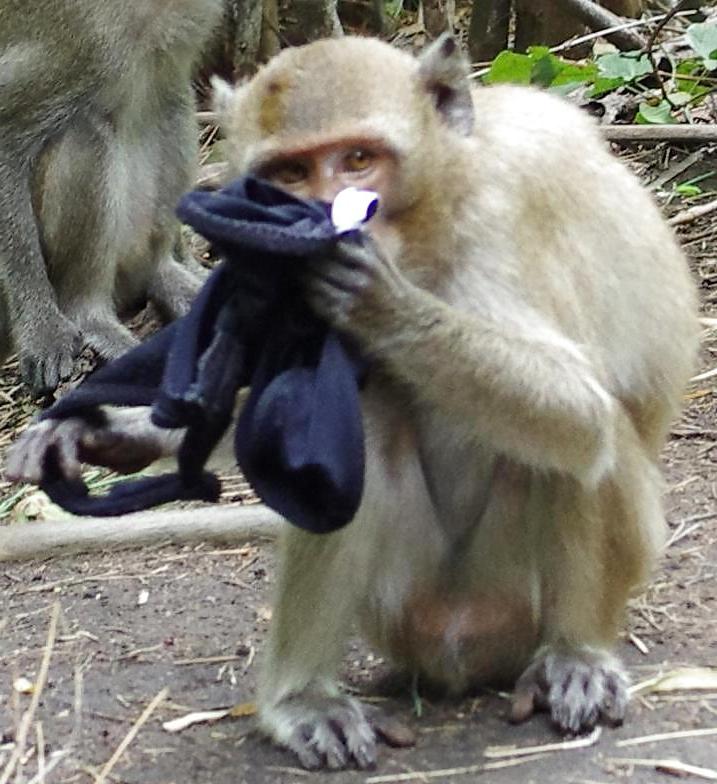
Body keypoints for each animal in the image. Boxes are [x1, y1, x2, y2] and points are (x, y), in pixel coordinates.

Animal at [0, 0, 223, 395]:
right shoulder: (74, 43)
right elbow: (7, 131)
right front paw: (41, 331)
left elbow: (171, 93)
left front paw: (188, 261)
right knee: (86, 134)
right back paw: (91, 316)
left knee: (173, 103)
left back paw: (164, 271)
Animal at [6, 34, 699, 770]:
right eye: (290, 172)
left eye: (359, 160)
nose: (331, 209)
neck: (440, 195)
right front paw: (115, 430)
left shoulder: (503, 218)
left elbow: (581, 412)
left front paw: (374, 297)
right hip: (399, 604)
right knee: (357, 426)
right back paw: (303, 700)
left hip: (540, 586)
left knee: (579, 445)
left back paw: (576, 655)